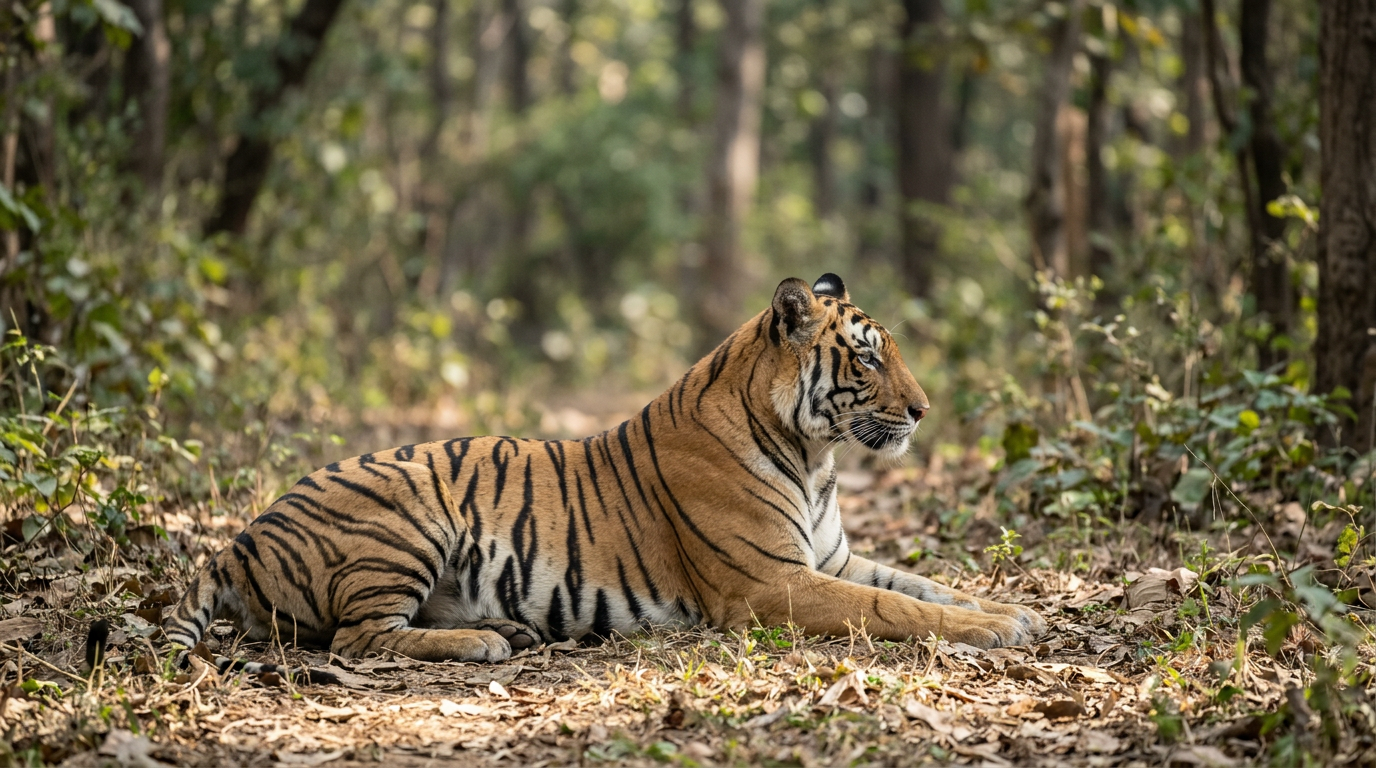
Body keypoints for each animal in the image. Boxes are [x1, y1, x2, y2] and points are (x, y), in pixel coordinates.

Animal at [163, 274, 1046, 666]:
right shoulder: (770, 582)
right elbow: (893, 607)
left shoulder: (829, 559)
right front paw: (996, 629)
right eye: (866, 359)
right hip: (405, 515)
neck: (815, 454)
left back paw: (506, 628)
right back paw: (483, 644)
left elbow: (924, 585)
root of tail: (238, 540)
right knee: (358, 637)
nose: (925, 410)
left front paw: (1010, 610)